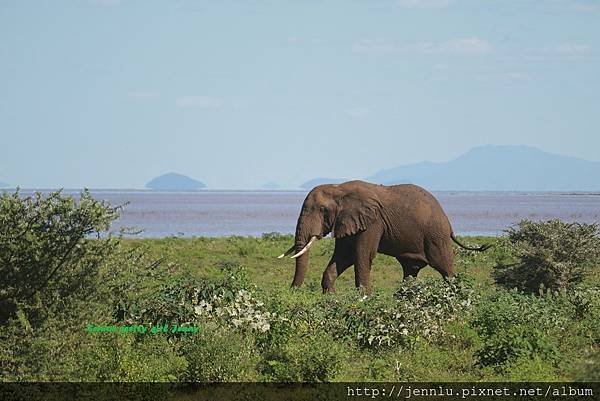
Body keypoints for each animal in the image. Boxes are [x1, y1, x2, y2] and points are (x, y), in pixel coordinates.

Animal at [278, 180, 490, 290]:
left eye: (322, 210)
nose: (293, 291)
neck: (339, 188)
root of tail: (447, 220)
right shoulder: (348, 222)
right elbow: (343, 257)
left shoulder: (372, 223)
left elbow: (362, 256)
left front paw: (363, 299)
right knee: (410, 271)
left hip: (435, 236)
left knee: (445, 269)